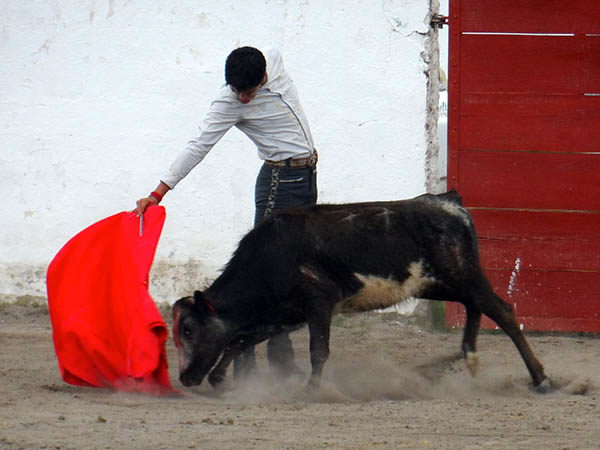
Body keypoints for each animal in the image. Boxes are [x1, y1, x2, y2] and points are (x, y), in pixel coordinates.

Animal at [171, 192, 552, 392]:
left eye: (189, 330)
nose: (185, 377)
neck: (271, 256)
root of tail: (449, 203)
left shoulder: (318, 304)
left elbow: (318, 350)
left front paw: (312, 390)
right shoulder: (287, 315)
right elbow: (241, 338)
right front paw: (219, 377)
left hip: (463, 275)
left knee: (502, 310)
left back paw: (540, 378)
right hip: (442, 284)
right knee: (475, 307)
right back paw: (468, 357)